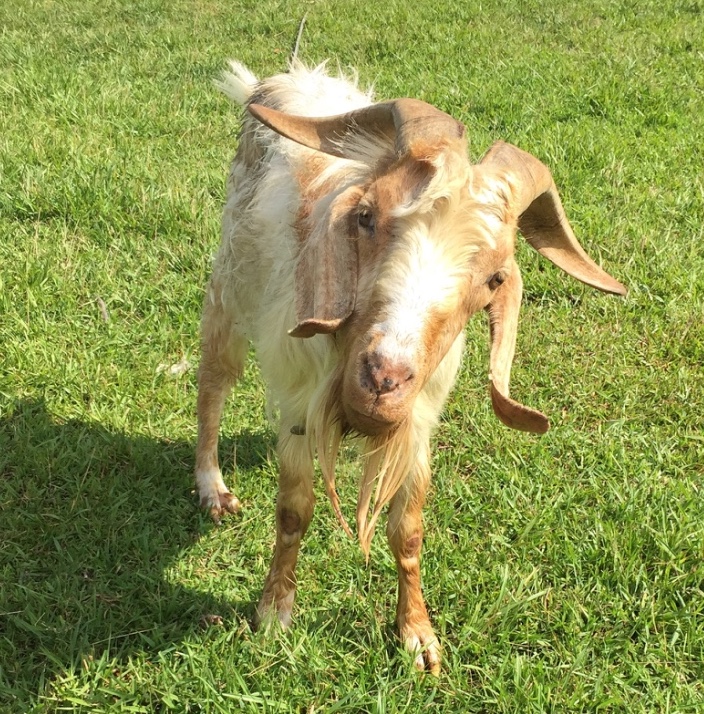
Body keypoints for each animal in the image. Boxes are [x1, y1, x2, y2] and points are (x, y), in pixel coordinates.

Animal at [195, 60, 626, 674]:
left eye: (495, 277)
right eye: (366, 217)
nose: (383, 379)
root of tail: (285, 79)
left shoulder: (419, 418)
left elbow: (409, 530)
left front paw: (418, 637)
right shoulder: (300, 400)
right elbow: (294, 511)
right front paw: (274, 612)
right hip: (230, 286)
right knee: (213, 383)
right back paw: (213, 489)